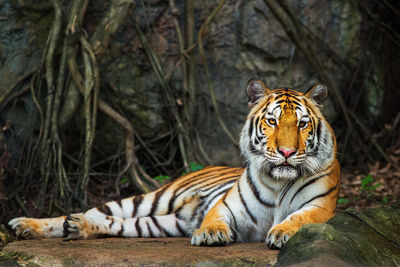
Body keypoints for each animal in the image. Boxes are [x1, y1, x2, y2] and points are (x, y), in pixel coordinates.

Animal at [7, 79, 340, 249]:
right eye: (272, 121)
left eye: (302, 124)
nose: (286, 152)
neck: (279, 181)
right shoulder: (227, 206)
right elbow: (214, 218)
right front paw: (210, 234)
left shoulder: (320, 207)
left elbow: (299, 218)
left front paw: (282, 232)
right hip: (150, 200)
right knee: (94, 211)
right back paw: (26, 224)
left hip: (157, 223)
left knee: (111, 223)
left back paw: (76, 228)